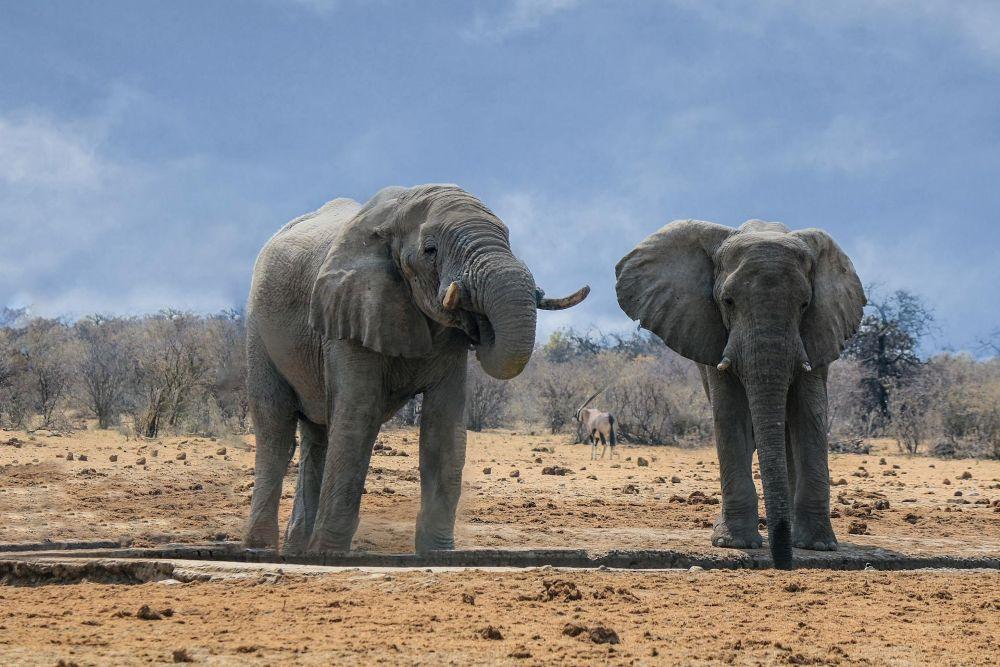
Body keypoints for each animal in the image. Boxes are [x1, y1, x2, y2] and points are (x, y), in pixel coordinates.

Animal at [243, 184, 589, 555]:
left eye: (508, 239)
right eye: (430, 250)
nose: (477, 320)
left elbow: (444, 424)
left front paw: (438, 553)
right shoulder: (348, 312)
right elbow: (358, 415)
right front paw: (329, 553)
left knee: (315, 436)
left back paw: (296, 550)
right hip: (258, 329)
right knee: (275, 428)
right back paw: (261, 548)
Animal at [615, 219, 864, 569]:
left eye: (804, 304)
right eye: (728, 301)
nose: (783, 565)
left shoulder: (818, 331)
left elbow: (809, 415)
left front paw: (819, 546)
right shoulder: (712, 334)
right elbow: (731, 414)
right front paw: (734, 544)